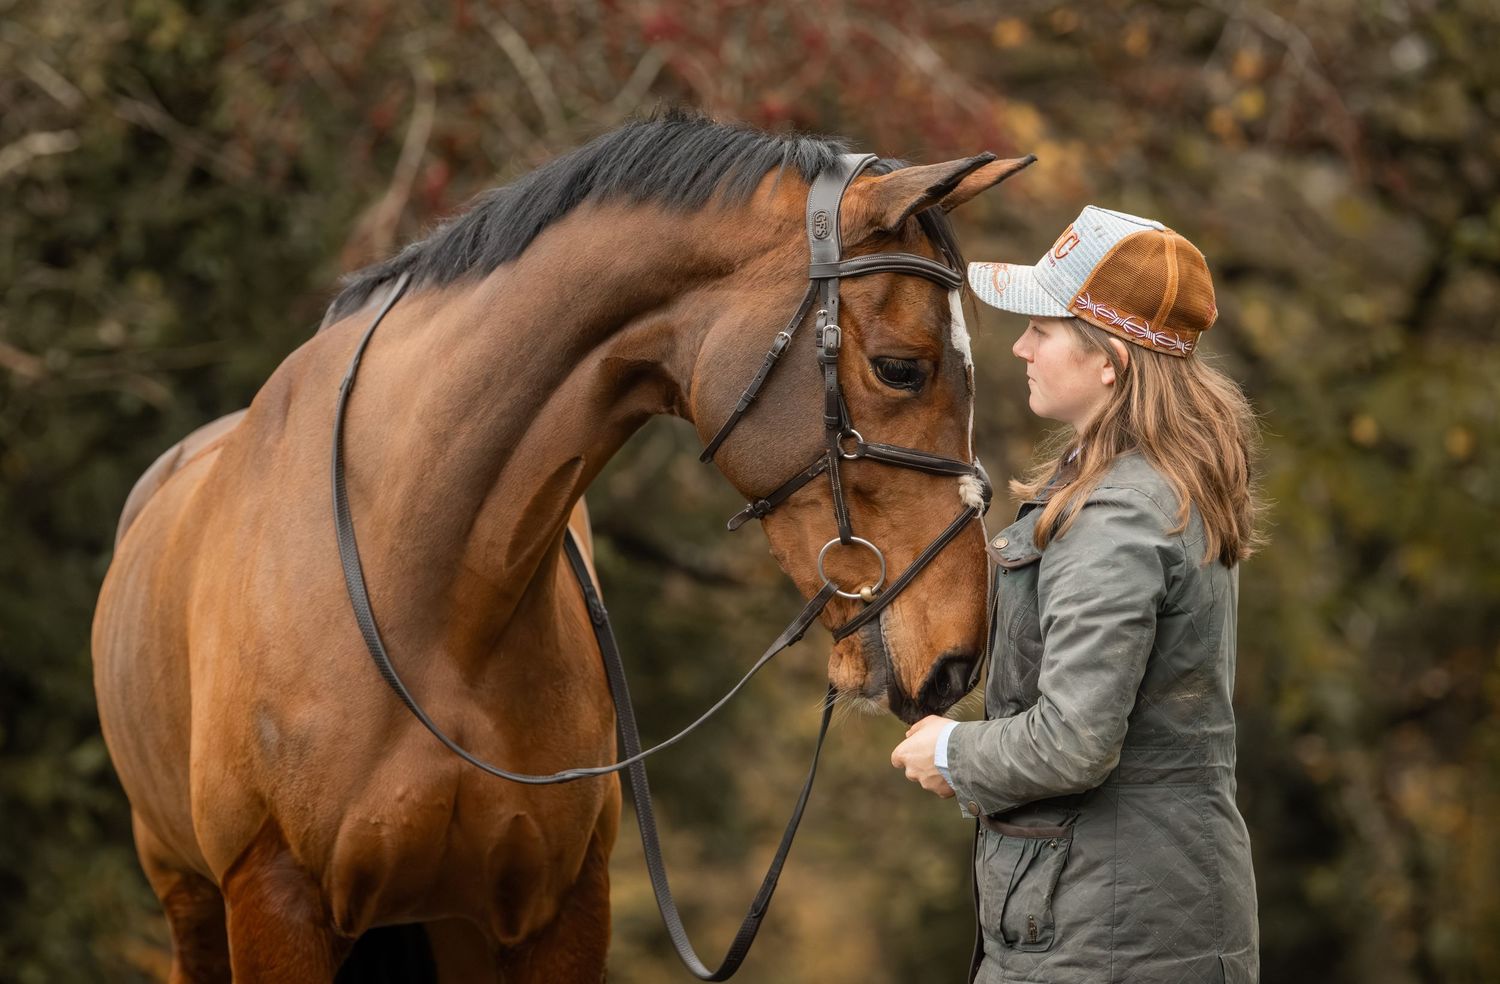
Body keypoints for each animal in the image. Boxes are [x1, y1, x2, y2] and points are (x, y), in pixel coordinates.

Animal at [93, 116, 1031, 982]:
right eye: (901, 367)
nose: (959, 657)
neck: (430, 598)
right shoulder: (274, 901)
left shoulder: (555, 910)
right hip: (193, 906)